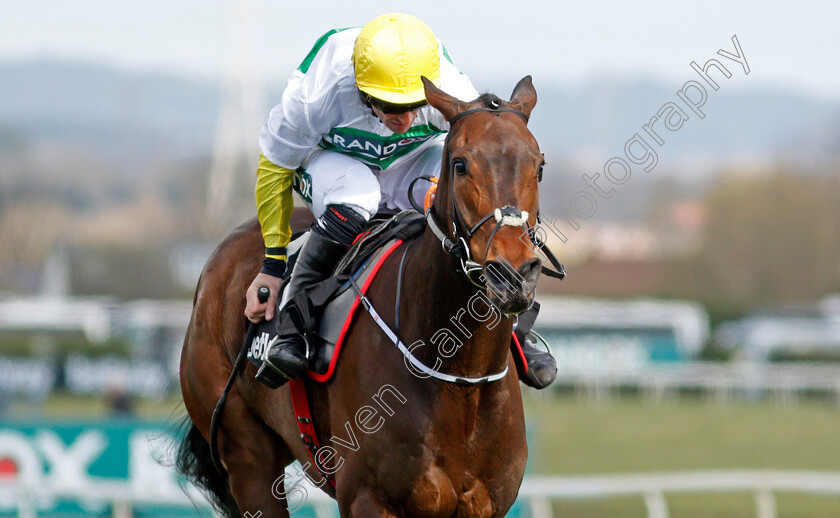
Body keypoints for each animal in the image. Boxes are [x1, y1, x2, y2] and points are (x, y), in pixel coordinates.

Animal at [179, 75, 544, 516]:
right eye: (460, 165)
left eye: (539, 166)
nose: (512, 274)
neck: (461, 376)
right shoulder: (370, 499)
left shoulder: (486, 504)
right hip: (247, 454)